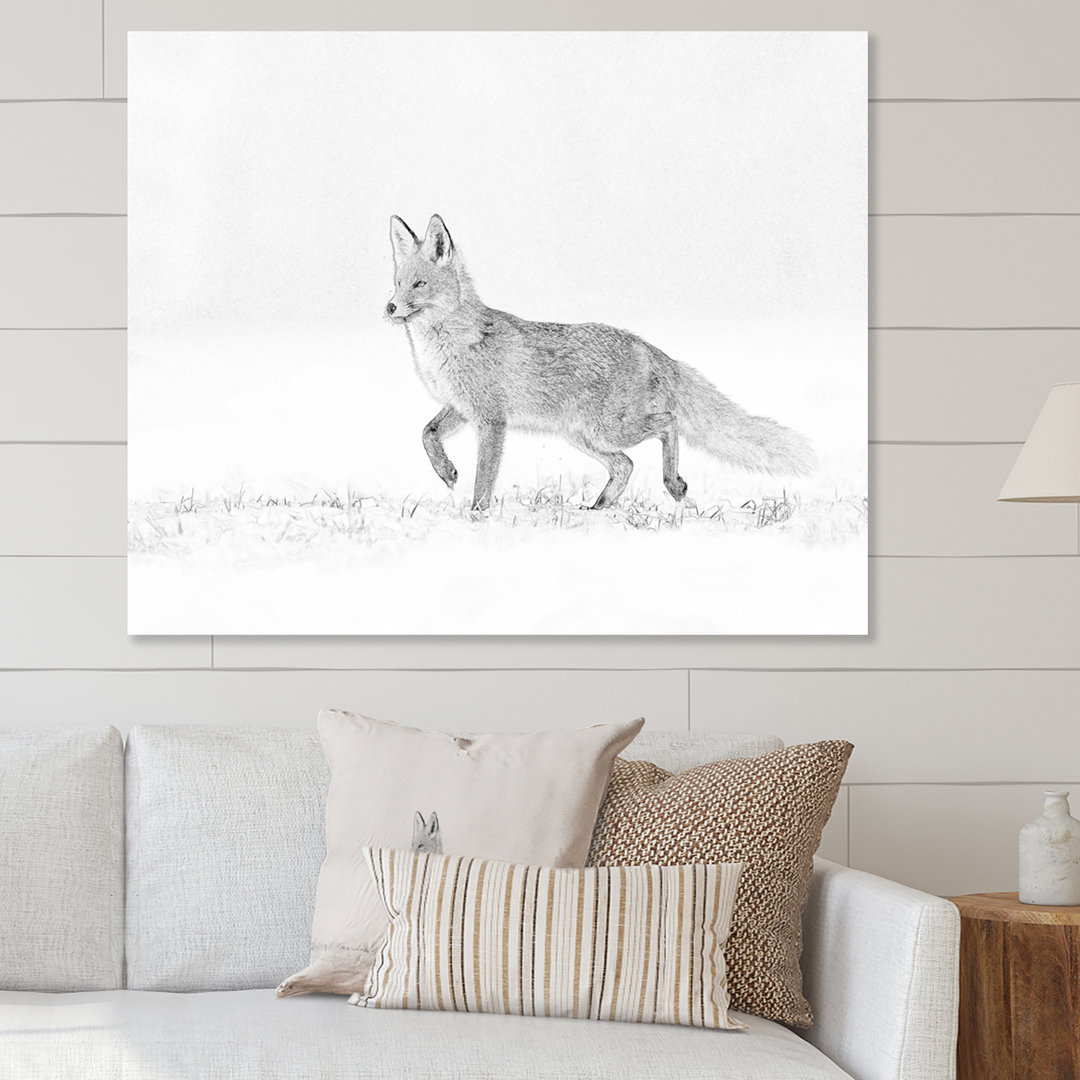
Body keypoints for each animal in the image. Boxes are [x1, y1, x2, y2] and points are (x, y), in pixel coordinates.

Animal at [385, 214, 815, 511]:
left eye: (419, 285)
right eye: (397, 282)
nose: (389, 307)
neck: (448, 345)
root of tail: (651, 348)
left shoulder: (491, 419)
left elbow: (483, 480)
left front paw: (477, 516)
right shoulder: (461, 407)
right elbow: (426, 434)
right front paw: (446, 472)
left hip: (607, 429)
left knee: (667, 423)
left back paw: (673, 483)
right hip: (586, 436)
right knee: (625, 465)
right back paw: (600, 508)